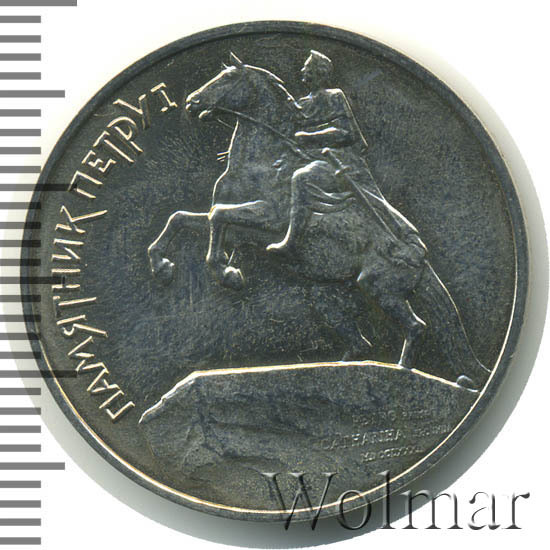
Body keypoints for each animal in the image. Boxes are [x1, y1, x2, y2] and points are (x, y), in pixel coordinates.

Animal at [147, 52, 490, 389]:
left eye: (229, 77)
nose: (192, 101)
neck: (263, 162)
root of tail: (421, 257)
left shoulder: (268, 218)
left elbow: (218, 216)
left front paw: (227, 272)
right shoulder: (240, 230)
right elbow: (183, 218)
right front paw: (163, 266)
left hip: (380, 287)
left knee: (416, 326)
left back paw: (403, 370)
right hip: (326, 296)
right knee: (361, 342)